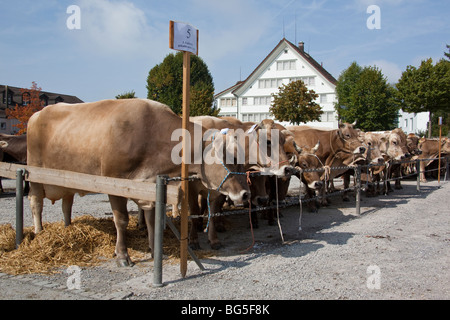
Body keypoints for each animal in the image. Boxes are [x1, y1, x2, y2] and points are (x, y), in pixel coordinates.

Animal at [27, 99, 253, 266]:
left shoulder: (151, 186)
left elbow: (153, 220)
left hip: (67, 179)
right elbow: (121, 220)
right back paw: (38, 232)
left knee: (66, 203)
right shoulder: (115, 184)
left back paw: (67, 227)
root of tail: (38, 113)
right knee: (36, 203)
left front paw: (155, 250)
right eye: (231, 158)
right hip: (34, 173)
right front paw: (122, 255)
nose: (245, 194)